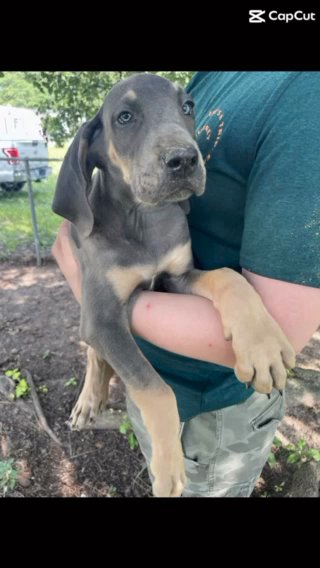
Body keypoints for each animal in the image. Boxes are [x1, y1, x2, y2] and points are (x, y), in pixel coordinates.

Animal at [52, 72, 296, 496]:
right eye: (125, 117)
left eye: (187, 107)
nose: (184, 160)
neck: (143, 219)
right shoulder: (101, 315)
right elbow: (152, 384)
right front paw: (168, 465)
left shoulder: (177, 277)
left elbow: (228, 276)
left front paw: (262, 343)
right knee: (94, 353)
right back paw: (88, 400)